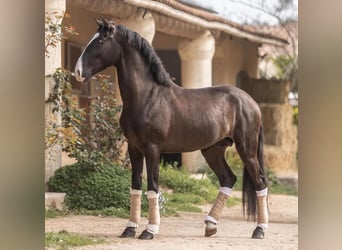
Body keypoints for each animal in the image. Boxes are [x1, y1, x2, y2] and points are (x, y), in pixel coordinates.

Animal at [75, 17, 270, 240]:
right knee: (228, 178)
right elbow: (135, 186)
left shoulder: (152, 149)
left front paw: (149, 231)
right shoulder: (134, 149)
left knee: (260, 182)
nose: (78, 72)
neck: (147, 97)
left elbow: (152, 187)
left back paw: (259, 230)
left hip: (247, 150)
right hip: (212, 150)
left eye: (100, 41)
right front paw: (130, 229)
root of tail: (251, 102)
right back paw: (210, 226)